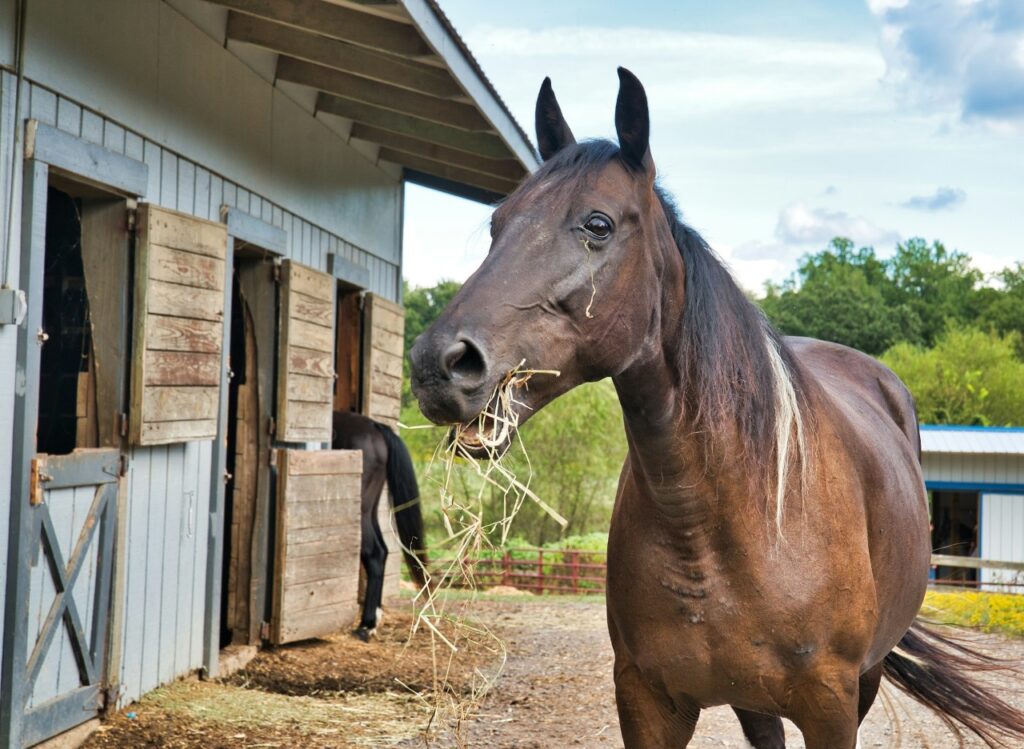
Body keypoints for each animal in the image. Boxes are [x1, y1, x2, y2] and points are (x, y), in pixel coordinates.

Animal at [332, 411, 428, 641]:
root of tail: (375, 427)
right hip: (371, 508)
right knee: (382, 551)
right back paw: (373, 619)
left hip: (361, 510)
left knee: (374, 553)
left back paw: (366, 625)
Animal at [407, 69, 1024, 748]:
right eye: (498, 223)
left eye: (598, 224)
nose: (440, 363)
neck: (718, 526)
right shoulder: (648, 702)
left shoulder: (832, 707)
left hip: (864, 677)